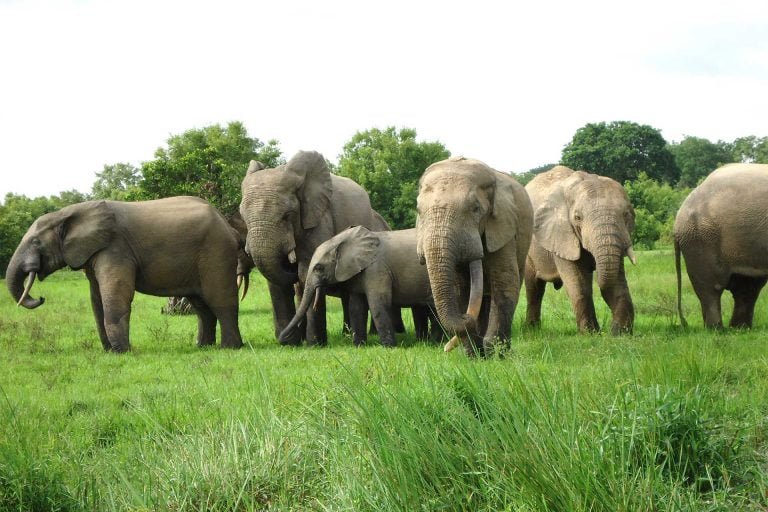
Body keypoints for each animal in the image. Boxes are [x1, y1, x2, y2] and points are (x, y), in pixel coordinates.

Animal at [6, 197, 244, 352]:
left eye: (36, 242)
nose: (40, 297)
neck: (66, 213)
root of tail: (227, 225)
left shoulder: (115, 247)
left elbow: (116, 293)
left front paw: (122, 351)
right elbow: (96, 299)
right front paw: (110, 351)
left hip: (217, 250)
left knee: (220, 299)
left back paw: (230, 348)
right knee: (201, 306)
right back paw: (203, 347)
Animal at [239, 150, 376, 345]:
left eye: (287, 215)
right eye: (242, 216)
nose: (281, 339)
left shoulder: (318, 218)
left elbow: (306, 271)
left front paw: (314, 344)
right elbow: (276, 281)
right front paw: (290, 344)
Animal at [278, 226, 441, 347]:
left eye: (318, 268)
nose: (282, 340)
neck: (344, 241)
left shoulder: (376, 268)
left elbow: (378, 303)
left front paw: (389, 347)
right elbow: (356, 306)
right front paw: (358, 346)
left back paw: (437, 342)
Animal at [416, 156, 533, 356]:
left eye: (476, 209)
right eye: (418, 210)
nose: (466, 318)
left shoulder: (503, 228)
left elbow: (505, 283)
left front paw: (494, 354)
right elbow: (461, 289)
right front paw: (474, 356)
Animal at [524, 166, 637, 335]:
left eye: (626, 215)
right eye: (578, 218)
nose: (610, 330)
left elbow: (617, 281)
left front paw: (619, 333)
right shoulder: (561, 236)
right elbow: (578, 283)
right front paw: (590, 334)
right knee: (534, 289)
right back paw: (532, 330)